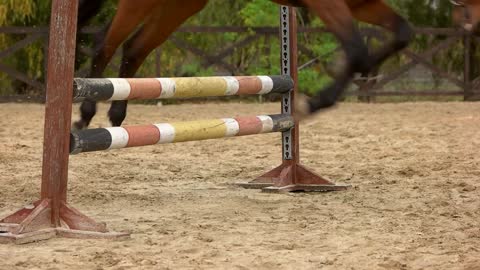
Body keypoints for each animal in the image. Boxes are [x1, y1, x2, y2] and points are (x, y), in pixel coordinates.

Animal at [73, 0, 414, 130]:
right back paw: (85, 114)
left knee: (134, 48)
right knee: (106, 45)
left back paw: (117, 115)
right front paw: (314, 103)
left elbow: (401, 34)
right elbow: (357, 50)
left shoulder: (362, 3)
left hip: (181, 5)